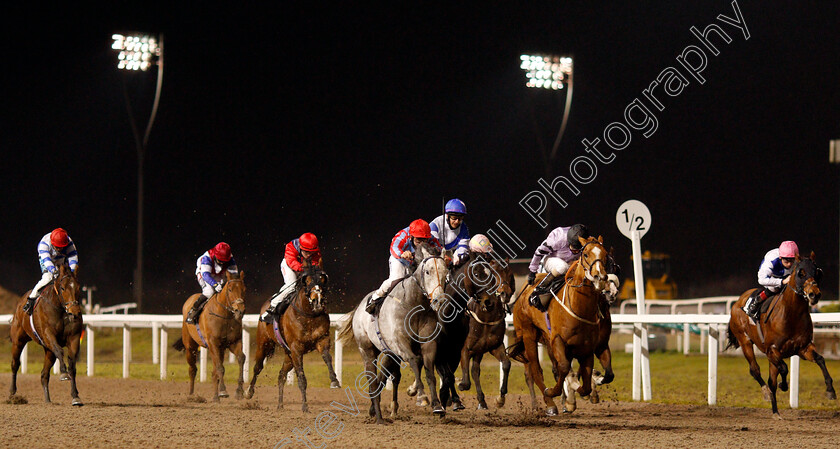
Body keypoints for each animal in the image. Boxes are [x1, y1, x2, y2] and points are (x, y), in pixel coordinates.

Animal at [8, 264, 83, 404]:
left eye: (78, 287)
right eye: (63, 288)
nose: (74, 312)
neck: (61, 310)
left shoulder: (74, 338)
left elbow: (72, 365)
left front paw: (75, 396)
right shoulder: (48, 334)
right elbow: (59, 350)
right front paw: (63, 373)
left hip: (48, 351)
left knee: (44, 374)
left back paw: (48, 400)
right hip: (18, 341)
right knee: (15, 364)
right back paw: (12, 393)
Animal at [173, 272, 246, 400]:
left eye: (244, 289)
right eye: (230, 289)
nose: (240, 311)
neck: (224, 315)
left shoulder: (233, 342)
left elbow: (241, 358)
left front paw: (239, 391)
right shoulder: (213, 344)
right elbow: (220, 368)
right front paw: (223, 391)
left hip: (220, 349)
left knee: (215, 370)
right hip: (190, 347)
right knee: (193, 369)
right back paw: (191, 394)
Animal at [243, 264, 338, 412]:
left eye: (322, 280)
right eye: (308, 281)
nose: (317, 300)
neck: (309, 315)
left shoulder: (322, 340)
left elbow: (327, 357)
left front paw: (334, 380)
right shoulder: (296, 349)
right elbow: (301, 378)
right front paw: (305, 406)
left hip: (288, 355)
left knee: (281, 375)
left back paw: (280, 405)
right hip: (264, 344)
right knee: (257, 367)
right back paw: (248, 392)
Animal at [508, 236, 608, 414]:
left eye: (605, 254)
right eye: (586, 254)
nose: (599, 276)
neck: (578, 306)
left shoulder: (587, 348)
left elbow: (585, 384)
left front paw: (576, 394)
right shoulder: (558, 340)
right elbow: (563, 367)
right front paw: (555, 392)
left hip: (545, 339)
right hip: (528, 335)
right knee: (536, 370)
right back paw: (549, 403)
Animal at [724, 252, 836, 416]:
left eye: (817, 272)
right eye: (800, 273)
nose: (814, 294)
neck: (792, 315)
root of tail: (738, 301)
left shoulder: (803, 348)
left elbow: (820, 359)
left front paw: (830, 390)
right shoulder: (772, 350)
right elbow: (784, 368)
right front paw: (783, 385)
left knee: (770, 379)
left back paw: (776, 412)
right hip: (745, 341)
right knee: (755, 370)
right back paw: (766, 393)